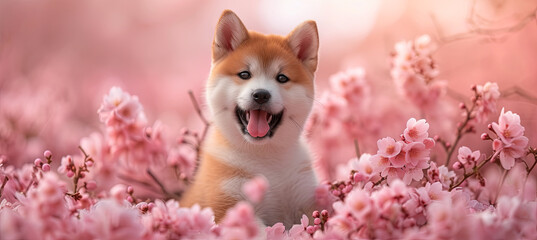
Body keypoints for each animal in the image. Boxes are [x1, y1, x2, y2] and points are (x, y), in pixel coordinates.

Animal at [182, 9, 318, 229]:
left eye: (282, 78)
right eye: (244, 74)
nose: (261, 94)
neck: (266, 159)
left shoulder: (305, 195)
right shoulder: (228, 204)